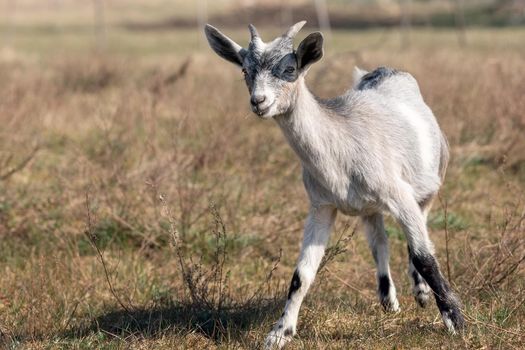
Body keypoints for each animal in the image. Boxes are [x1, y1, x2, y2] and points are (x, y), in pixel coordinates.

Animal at [204, 21, 462, 348]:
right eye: (244, 71)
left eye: (290, 69)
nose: (259, 102)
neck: (340, 147)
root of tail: (386, 71)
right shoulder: (322, 205)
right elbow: (302, 274)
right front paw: (279, 333)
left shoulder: (398, 194)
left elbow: (424, 256)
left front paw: (454, 320)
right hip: (369, 208)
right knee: (379, 242)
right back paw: (388, 300)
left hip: (429, 182)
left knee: (418, 234)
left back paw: (421, 292)